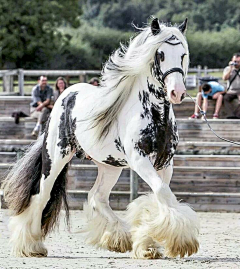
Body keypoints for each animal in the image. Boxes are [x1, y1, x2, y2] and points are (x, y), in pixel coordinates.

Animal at [2, 18, 199, 258]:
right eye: (160, 54)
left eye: (183, 54)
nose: (177, 92)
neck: (155, 114)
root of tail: (65, 95)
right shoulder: (139, 159)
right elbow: (161, 192)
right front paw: (178, 242)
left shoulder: (165, 163)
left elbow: (160, 195)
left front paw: (149, 244)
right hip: (55, 158)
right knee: (42, 196)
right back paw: (31, 246)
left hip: (109, 166)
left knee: (97, 196)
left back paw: (117, 239)